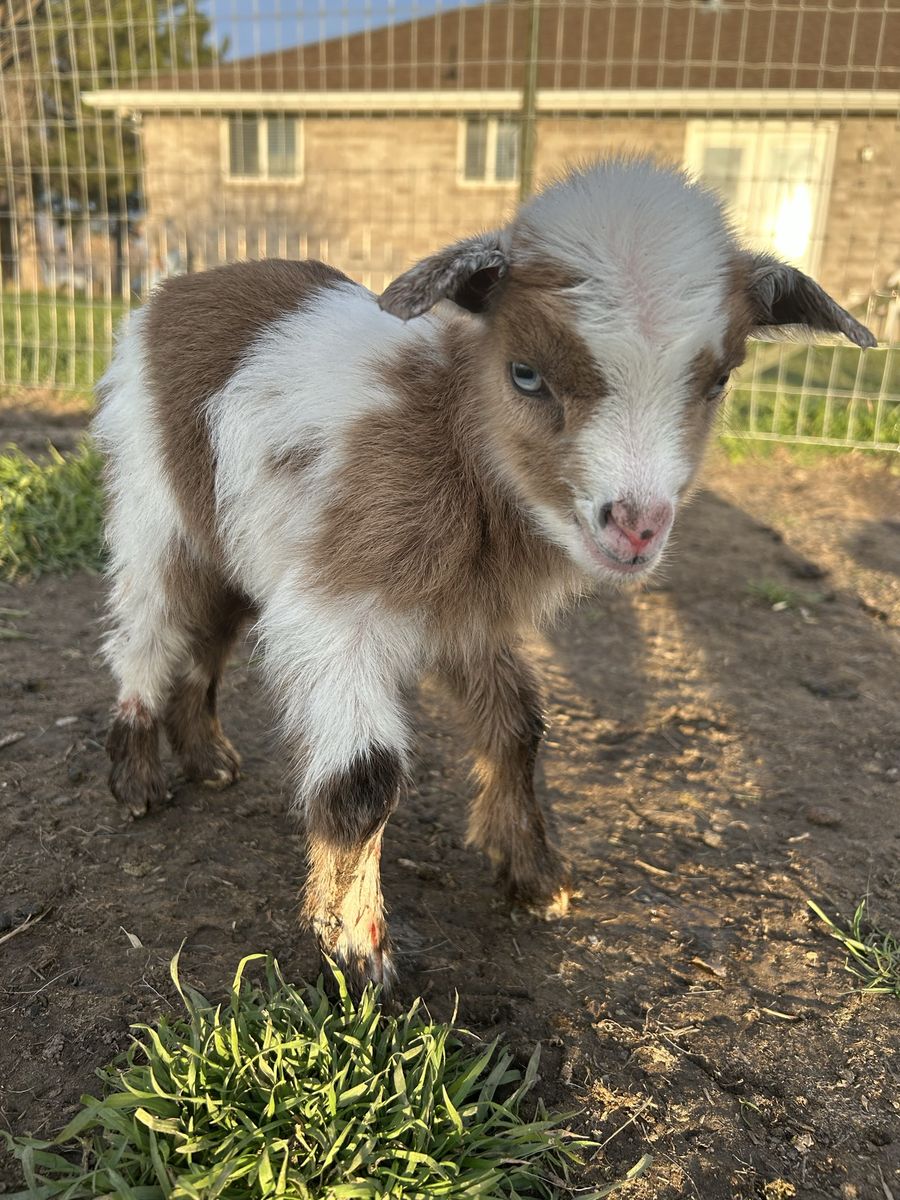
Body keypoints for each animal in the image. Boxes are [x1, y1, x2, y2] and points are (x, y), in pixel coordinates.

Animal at [94, 157, 875, 995]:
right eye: (525, 374)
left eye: (720, 380)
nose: (635, 527)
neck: (452, 429)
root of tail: (176, 289)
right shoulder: (336, 608)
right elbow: (365, 778)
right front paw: (358, 955)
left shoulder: (466, 610)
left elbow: (519, 725)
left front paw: (534, 875)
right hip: (152, 502)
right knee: (144, 629)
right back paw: (136, 778)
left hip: (233, 535)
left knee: (207, 636)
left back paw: (207, 759)